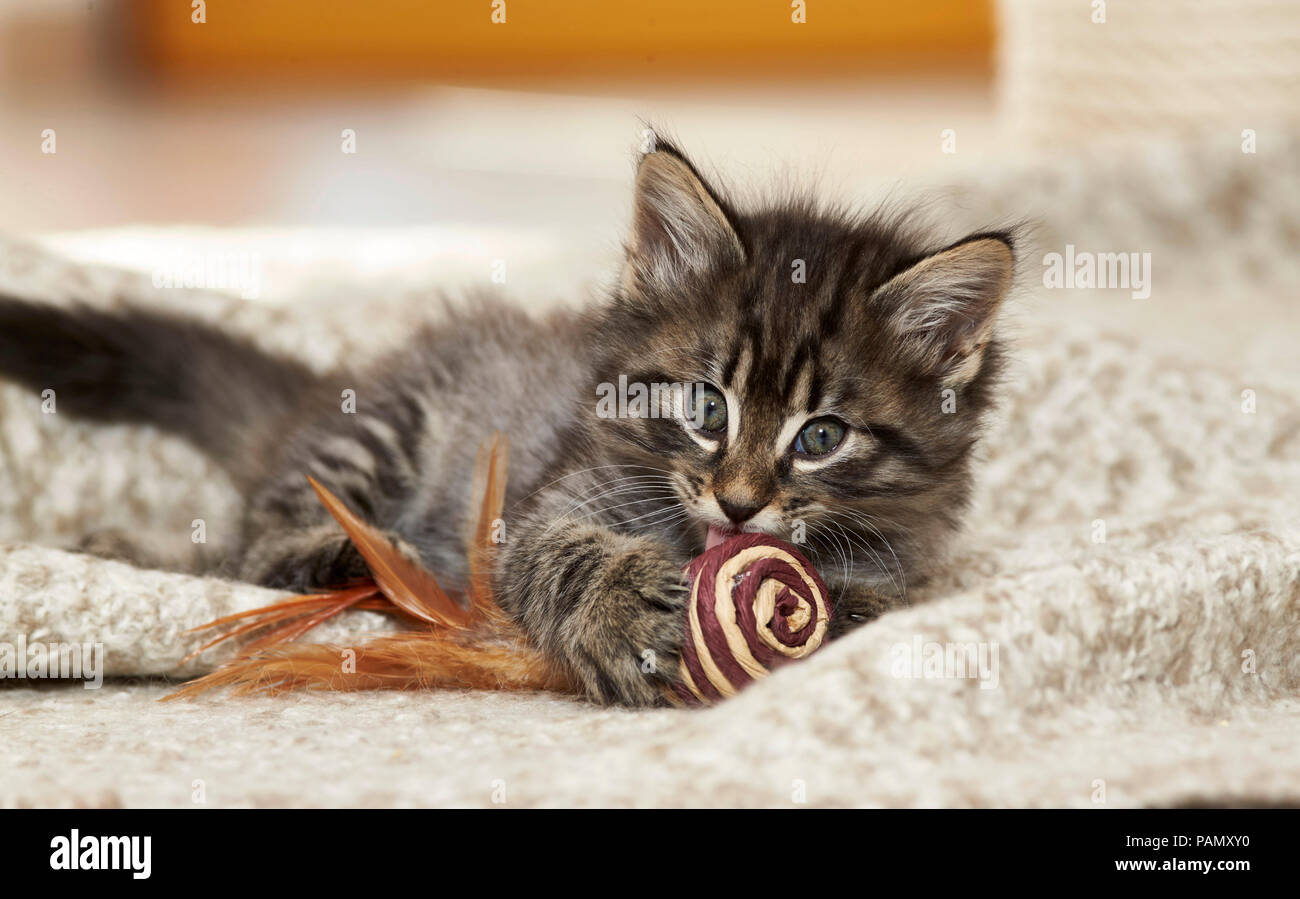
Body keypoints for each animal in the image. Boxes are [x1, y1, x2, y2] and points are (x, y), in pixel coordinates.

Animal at [0, 140, 1013, 706]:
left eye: (820, 437)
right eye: (705, 407)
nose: (736, 506)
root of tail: (328, 391)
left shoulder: (899, 563)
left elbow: (861, 602)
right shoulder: (539, 505)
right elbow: (562, 553)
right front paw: (621, 615)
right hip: (387, 427)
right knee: (260, 544)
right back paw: (349, 557)